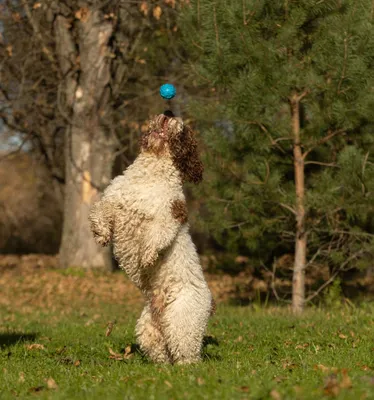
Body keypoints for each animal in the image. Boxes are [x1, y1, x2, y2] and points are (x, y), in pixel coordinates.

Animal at [89, 111, 213, 364]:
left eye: (182, 129)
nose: (168, 112)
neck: (150, 172)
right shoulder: (115, 202)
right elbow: (100, 210)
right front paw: (101, 233)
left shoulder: (168, 216)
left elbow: (156, 236)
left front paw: (146, 257)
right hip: (148, 329)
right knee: (163, 353)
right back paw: (161, 367)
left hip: (182, 321)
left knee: (187, 355)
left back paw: (186, 367)